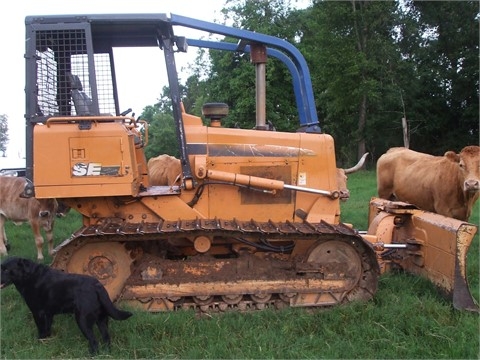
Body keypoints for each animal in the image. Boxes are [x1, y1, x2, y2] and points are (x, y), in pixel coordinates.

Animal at [0, 256, 131, 354]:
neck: (29, 276)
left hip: (82, 320)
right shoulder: (48, 314)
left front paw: (39, 343)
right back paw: (106, 353)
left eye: (6, 270)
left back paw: (91, 354)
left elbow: (41, 330)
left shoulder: (38, 312)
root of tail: (97, 285)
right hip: (102, 319)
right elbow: (47, 329)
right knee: (106, 338)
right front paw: (46, 342)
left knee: (94, 341)